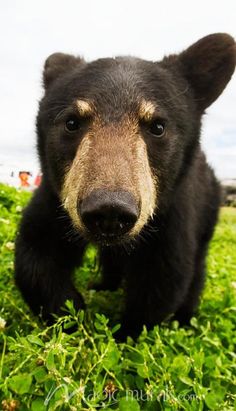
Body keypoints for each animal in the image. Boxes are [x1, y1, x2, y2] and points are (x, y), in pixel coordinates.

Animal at [15, 34, 236, 338]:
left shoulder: (170, 210)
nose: (110, 209)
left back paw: (185, 319)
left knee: (196, 267)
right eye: (72, 122)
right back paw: (103, 285)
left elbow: (165, 276)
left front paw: (122, 335)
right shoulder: (56, 194)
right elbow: (35, 253)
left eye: (158, 126)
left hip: (209, 208)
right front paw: (74, 316)